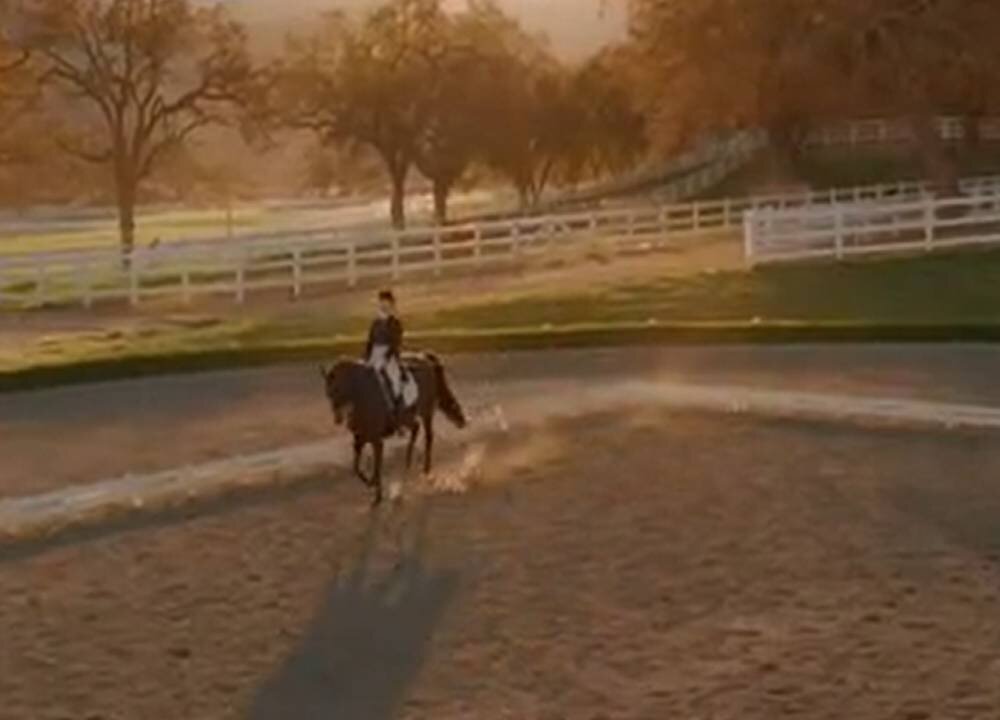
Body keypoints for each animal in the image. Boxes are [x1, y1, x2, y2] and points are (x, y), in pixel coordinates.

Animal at [320, 352, 468, 504]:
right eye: (328, 393)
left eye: (338, 389)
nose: (338, 419)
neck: (362, 399)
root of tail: (423, 358)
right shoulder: (360, 440)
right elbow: (356, 467)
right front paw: (370, 483)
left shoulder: (377, 441)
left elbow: (377, 466)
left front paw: (377, 496)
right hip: (408, 417)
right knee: (415, 428)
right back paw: (408, 462)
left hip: (426, 412)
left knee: (428, 436)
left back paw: (426, 469)